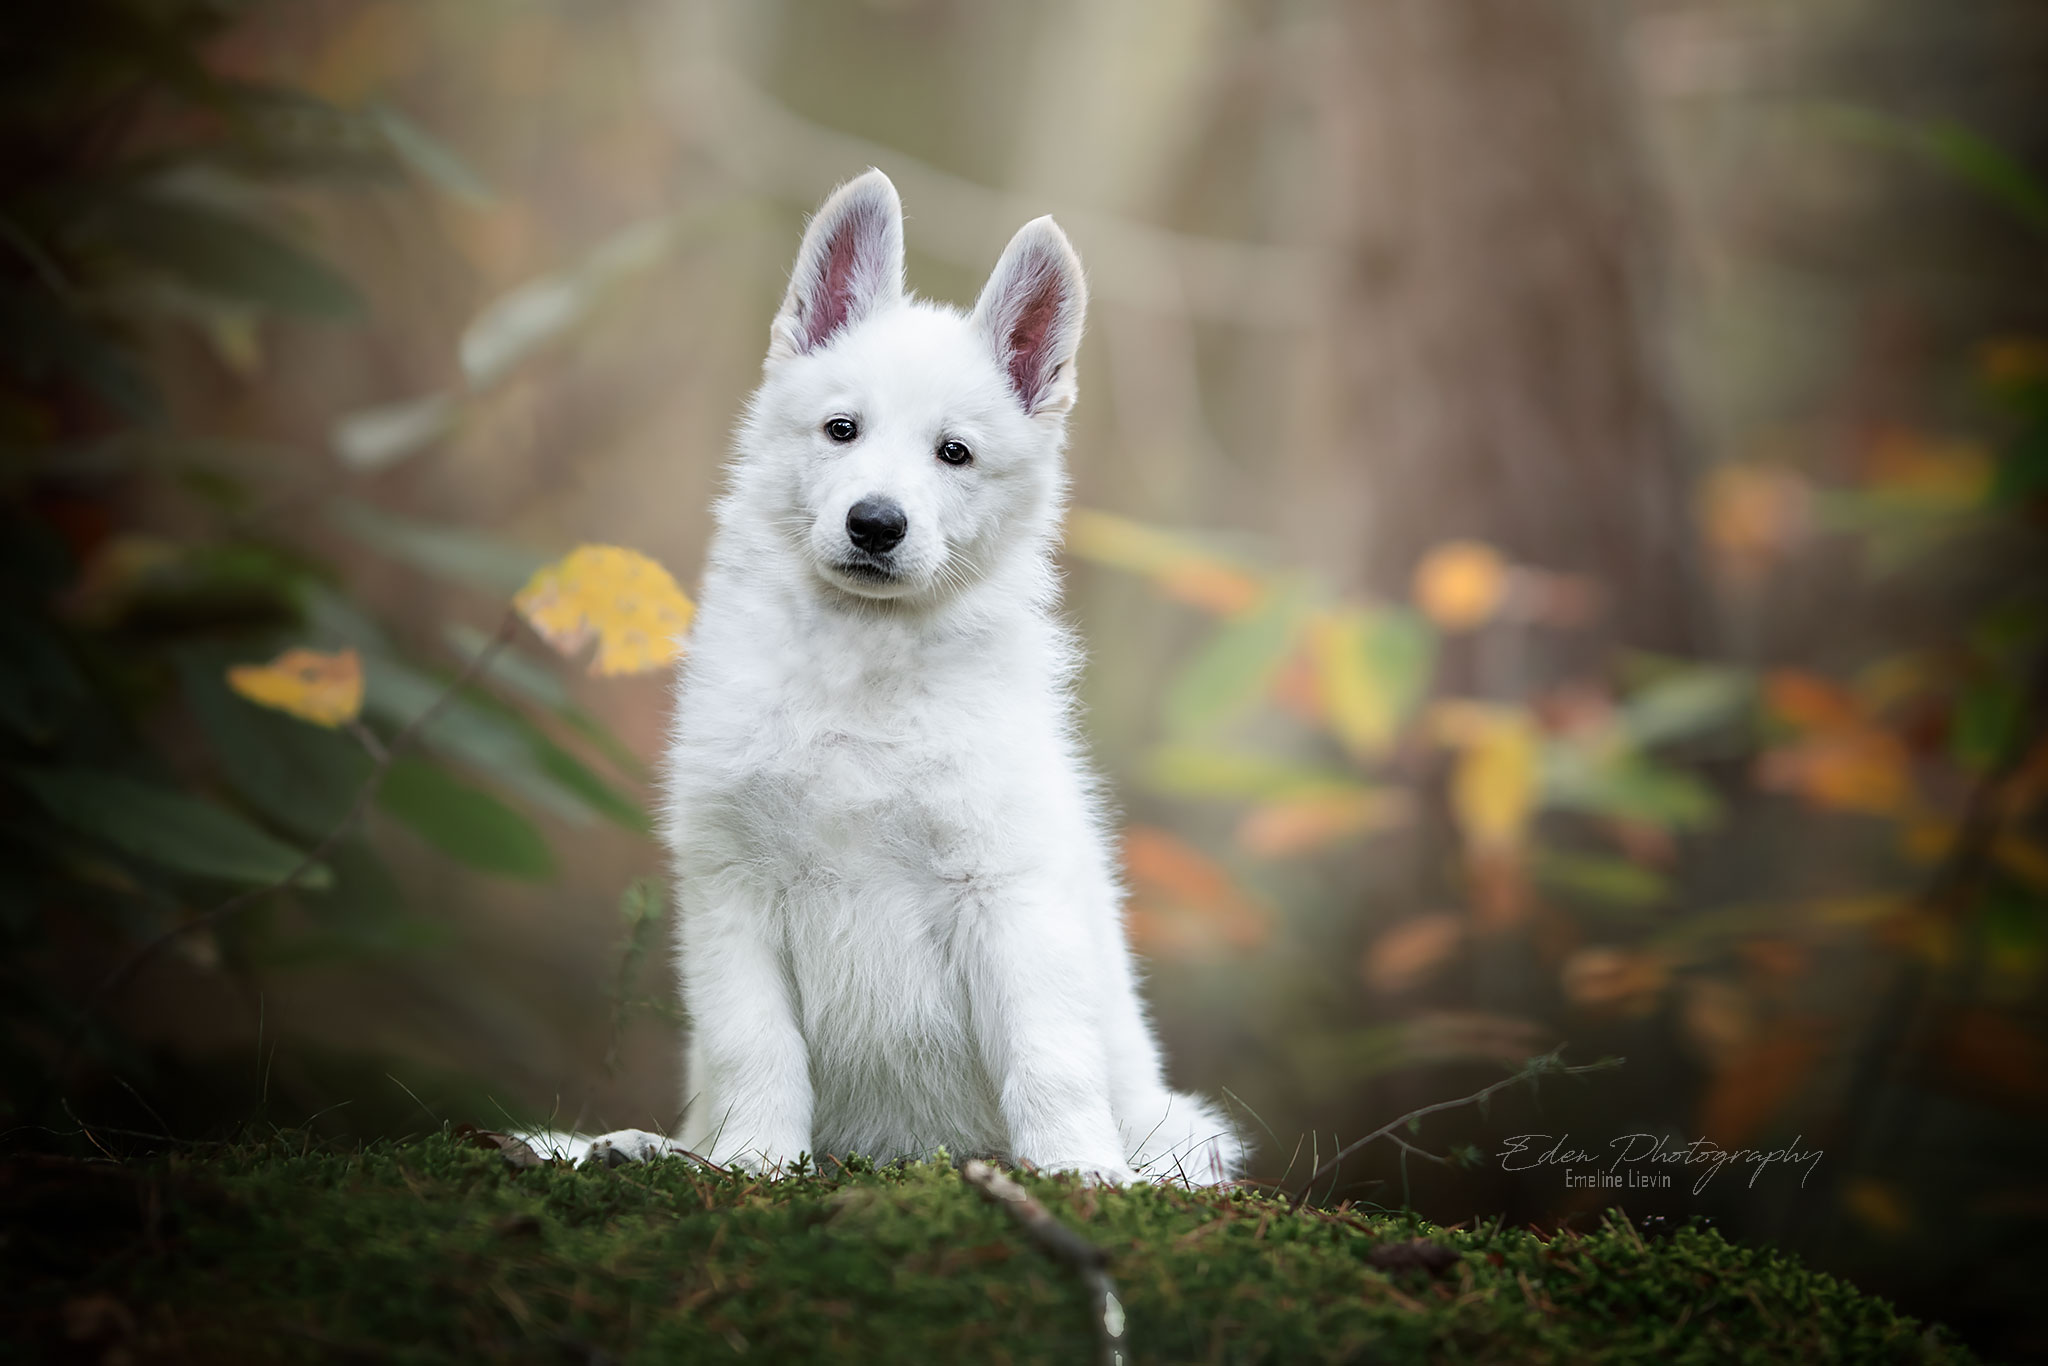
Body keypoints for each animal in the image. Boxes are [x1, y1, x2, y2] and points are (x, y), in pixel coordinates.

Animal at [573, 167, 1245, 1187]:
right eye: (841, 429)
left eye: (954, 452)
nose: (875, 523)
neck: (866, 658)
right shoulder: (733, 889)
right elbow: (754, 1046)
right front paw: (755, 1163)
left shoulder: (1006, 890)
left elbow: (1049, 1052)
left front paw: (1080, 1172)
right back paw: (648, 1149)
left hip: (1181, 1124)